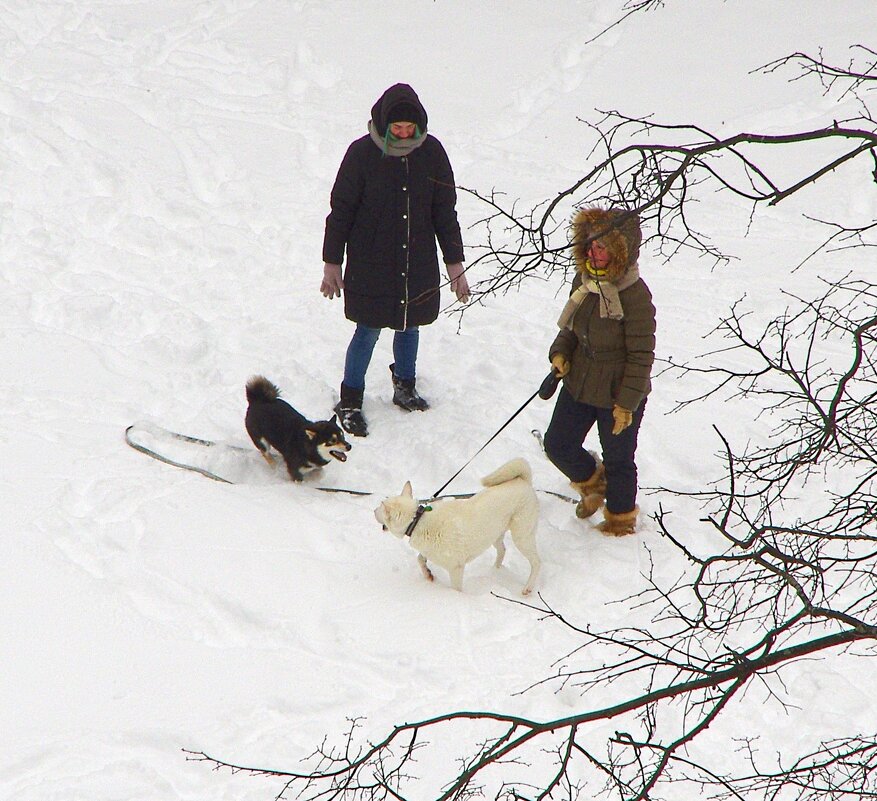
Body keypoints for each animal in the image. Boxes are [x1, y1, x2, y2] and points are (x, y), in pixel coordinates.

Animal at [374, 456, 540, 592]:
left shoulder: (456, 568)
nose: (373, 511)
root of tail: (524, 481)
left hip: (522, 536)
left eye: (380, 509)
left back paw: (528, 588)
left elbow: (455, 589)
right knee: (503, 550)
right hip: (495, 534)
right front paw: (428, 575)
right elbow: (420, 558)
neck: (417, 519)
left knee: (537, 562)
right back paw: (496, 570)